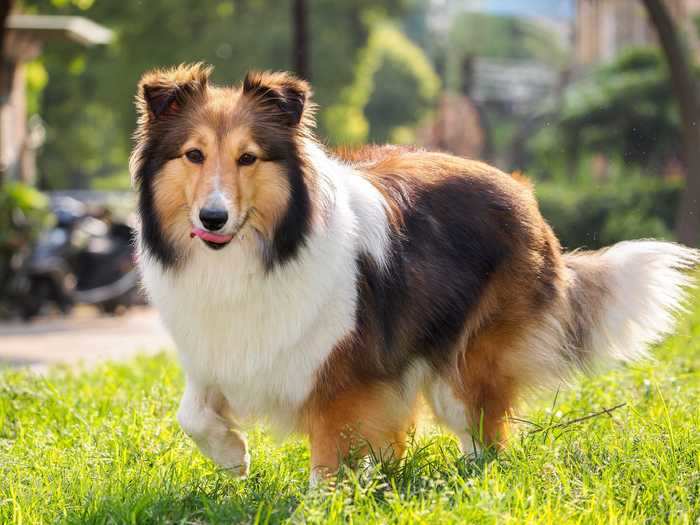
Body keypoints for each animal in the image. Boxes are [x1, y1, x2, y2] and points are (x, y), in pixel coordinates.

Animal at [130, 63, 696, 482]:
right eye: (194, 155)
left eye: (248, 158)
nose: (213, 218)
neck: (262, 251)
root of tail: (522, 191)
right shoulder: (218, 352)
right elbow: (192, 414)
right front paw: (233, 456)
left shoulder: (343, 377)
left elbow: (328, 458)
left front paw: (321, 505)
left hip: (467, 363)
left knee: (483, 435)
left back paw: (471, 482)